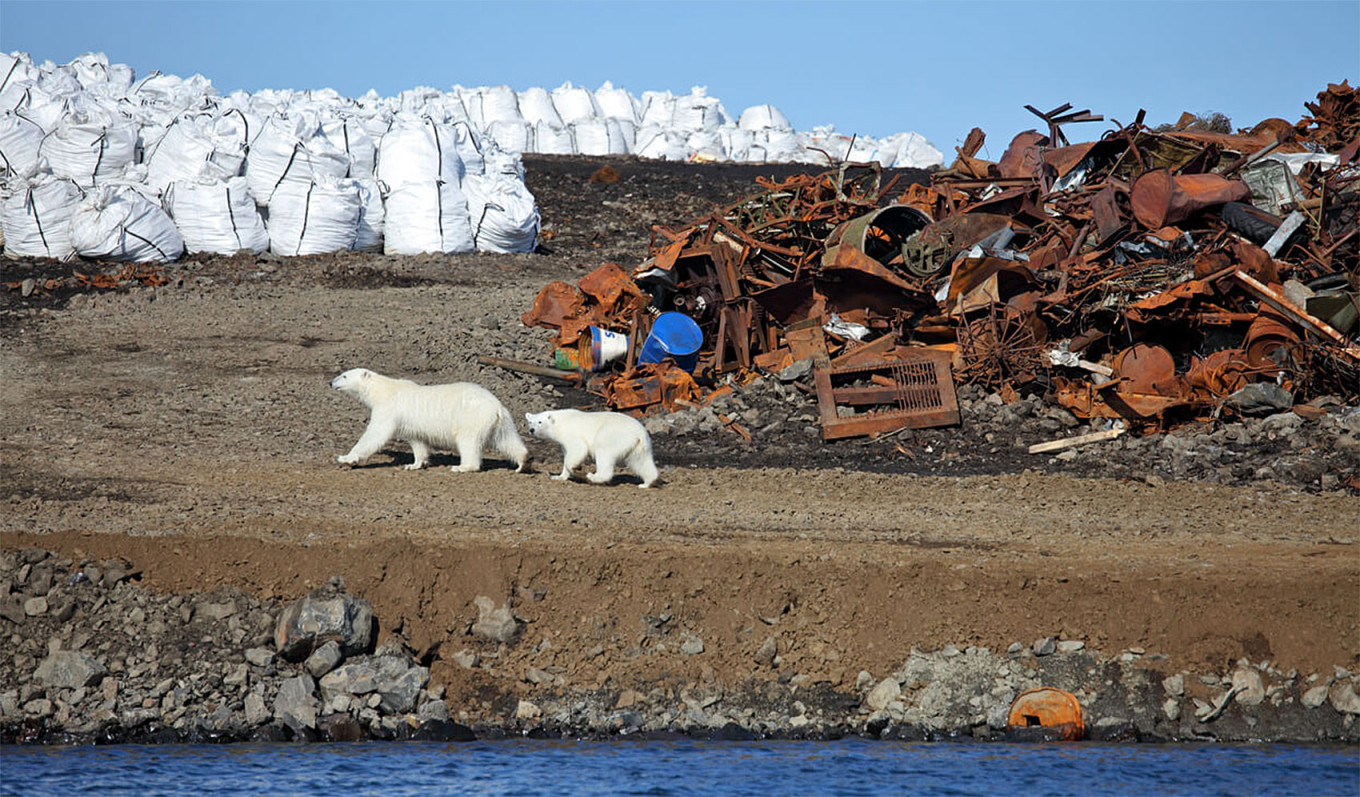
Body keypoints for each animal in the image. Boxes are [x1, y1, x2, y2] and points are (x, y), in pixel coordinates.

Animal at [331, 367, 527, 470]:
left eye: (344, 375)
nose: (331, 382)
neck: (383, 390)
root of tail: (496, 406)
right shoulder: (409, 422)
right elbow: (417, 441)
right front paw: (414, 464)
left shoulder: (388, 409)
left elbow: (375, 434)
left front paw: (346, 458)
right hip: (502, 421)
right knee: (507, 440)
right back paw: (523, 462)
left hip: (472, 417)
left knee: (468, 441)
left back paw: (462, 467)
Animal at [522, 405, 660, 486]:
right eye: (530, 422)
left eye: (540, 422)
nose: (531, 430)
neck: (559, 422)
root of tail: (639, 433)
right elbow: (567, 454)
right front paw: (558, 477)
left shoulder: (572, 433)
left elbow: (578, 449)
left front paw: (576, 468)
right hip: (639, 447)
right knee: (641, 462)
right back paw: (647, 483)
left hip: (612, 436)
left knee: (604, 454)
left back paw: (594, 476)